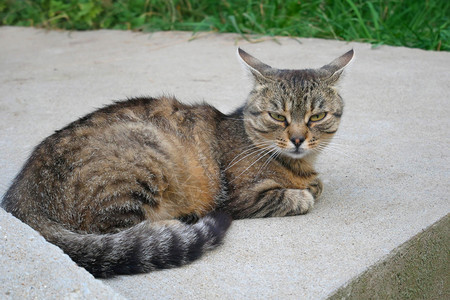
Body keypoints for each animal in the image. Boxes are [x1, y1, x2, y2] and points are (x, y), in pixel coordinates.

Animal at [0, 48, 354, 278]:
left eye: (317, 116)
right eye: (278, 116)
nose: (297, 139)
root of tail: (21, 199)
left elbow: (316, 184)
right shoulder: (242, 197)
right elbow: (301, 196)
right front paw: (304, 192)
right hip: (141, 161)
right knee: (120, 232)